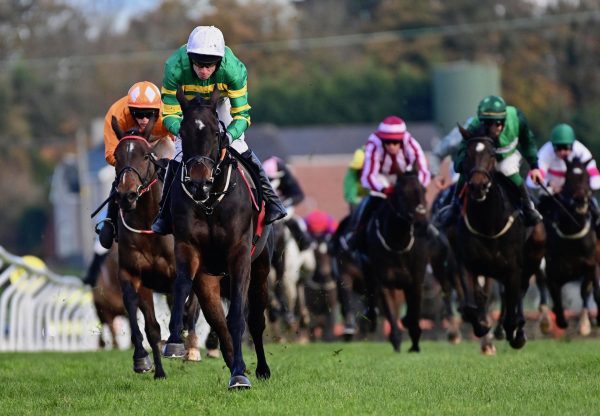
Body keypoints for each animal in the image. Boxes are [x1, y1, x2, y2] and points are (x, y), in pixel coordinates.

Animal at [112, 118, 204, 380]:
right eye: (116, 156)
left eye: (145, 155)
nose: (126, 195)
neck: (149, 224)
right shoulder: (134, 275)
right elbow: (147, 324)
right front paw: (145, 362)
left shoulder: (178, 273)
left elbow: (184, 309)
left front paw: (177, 344)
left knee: (191, 309)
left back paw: (190, 347)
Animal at [358, 171, 428, 352]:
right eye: (402, 194)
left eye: (423, 190)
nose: (421, 222)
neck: (398, 243)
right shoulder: (385, 282)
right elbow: (390, 311)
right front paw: (396, 340)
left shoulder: (415, 281)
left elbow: (415, 312)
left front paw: (415, 343)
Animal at [454, 132, 544, 350]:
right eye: (466, 154)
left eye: (492, 155)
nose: (478, 186)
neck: (488, 224)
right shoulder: (467, 263)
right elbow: (470, 305)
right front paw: (482, 325)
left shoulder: (513, 268)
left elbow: (512, 305)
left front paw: (513, 331)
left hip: (531, 259)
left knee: (519, 292)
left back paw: (517, 331)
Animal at [540, 157, 596, 334]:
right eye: (568, 179)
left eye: (587, 178)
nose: (580, 200)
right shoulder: (552, 271)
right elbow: (555, 295)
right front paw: (559, 320)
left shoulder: (591, 264)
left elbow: (585, 290)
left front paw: (584, 324)